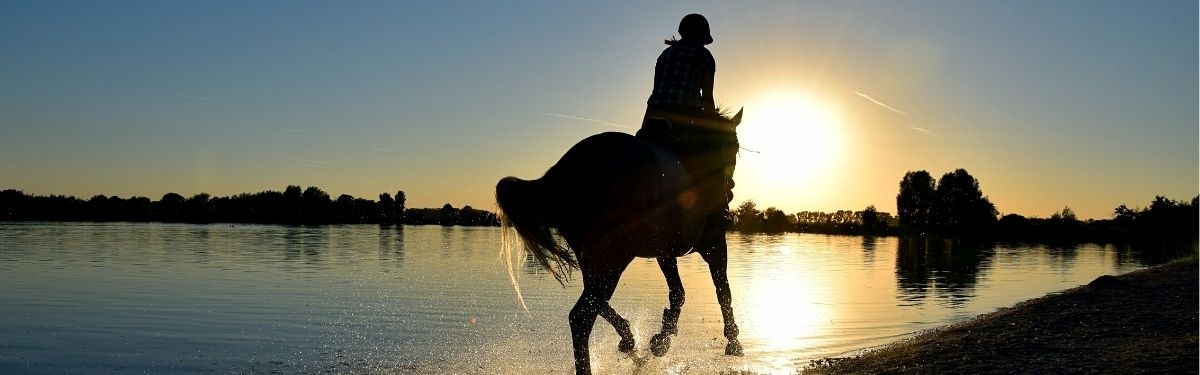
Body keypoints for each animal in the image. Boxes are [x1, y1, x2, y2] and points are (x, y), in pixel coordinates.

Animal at [494, 106, 739, 372]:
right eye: (734, 147)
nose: (730, 189)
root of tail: (560, 175)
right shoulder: (714, 244)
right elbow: (722, 290)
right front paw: (733, 341)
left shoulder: (665, 251)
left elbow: (678, 292)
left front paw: (661, 340)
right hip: (615, 257)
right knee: (581, 317)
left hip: (594, 257)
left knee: (594, 300)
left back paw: (628, 339)